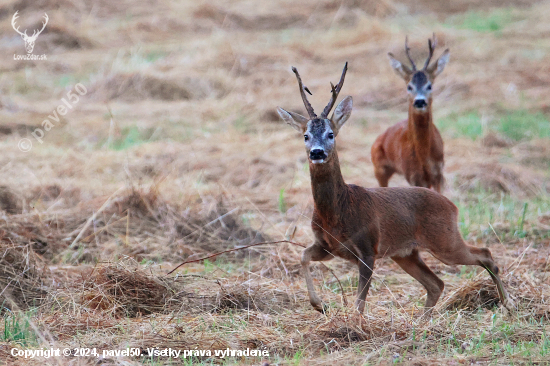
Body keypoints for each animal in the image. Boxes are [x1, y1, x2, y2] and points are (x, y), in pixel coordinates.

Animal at [278, 61, 516, 314]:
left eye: (330, 134)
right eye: (305, 136)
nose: (317, 152)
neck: (337, 211)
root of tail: (452, 205)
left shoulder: (368, 247)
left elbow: (359, 303)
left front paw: (347, 319)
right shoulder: (328, 246)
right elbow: (303, 256)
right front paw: (319, 305)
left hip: (445, 240)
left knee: (484, 255)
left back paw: (508, 303)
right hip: (406, 253)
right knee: (436, 283)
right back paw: (423, 320)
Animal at [374, 34, 450, 193]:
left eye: (429, 86)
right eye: (409, 86)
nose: (420, 101)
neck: (424, 155)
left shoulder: (438, 173)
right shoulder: (413, 176)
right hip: (378, 168)